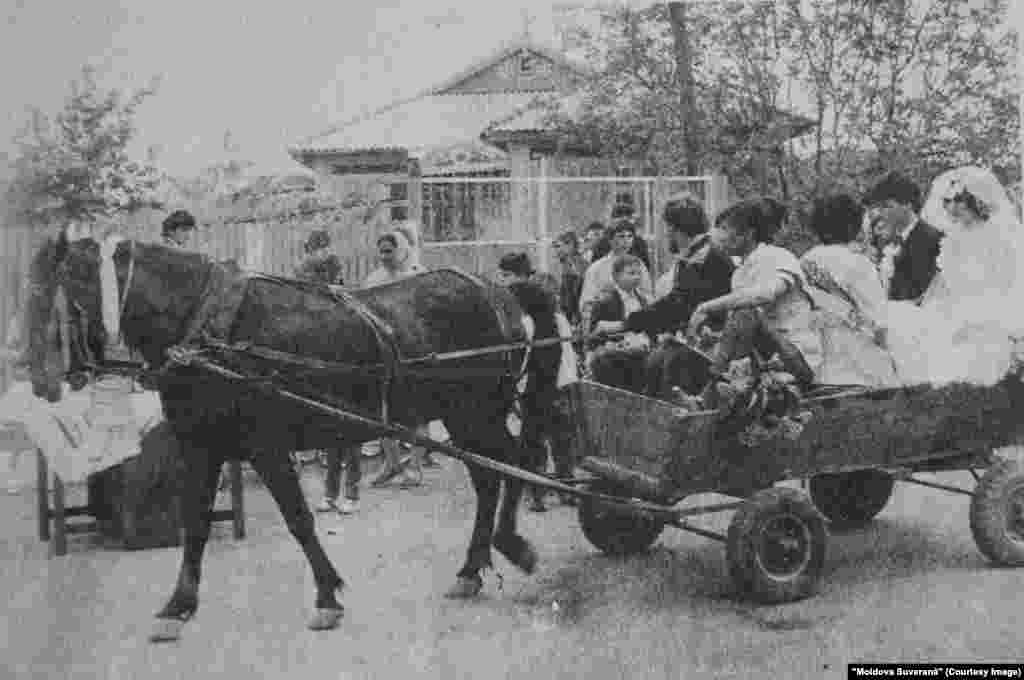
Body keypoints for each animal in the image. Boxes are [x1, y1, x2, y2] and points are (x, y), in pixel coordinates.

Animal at [22, 231, 552, 639]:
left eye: (55, 295)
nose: (40, 382)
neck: (206, 327)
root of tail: (501, 295)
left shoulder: (266, 446)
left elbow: (298, 519)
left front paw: (326, 596)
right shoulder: (201, 447)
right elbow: (194, 524)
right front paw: (178, 606)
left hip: (476, 412)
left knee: (513, 462)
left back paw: (509, 544)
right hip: (465, 418)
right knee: (489, 476)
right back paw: (472, 568)